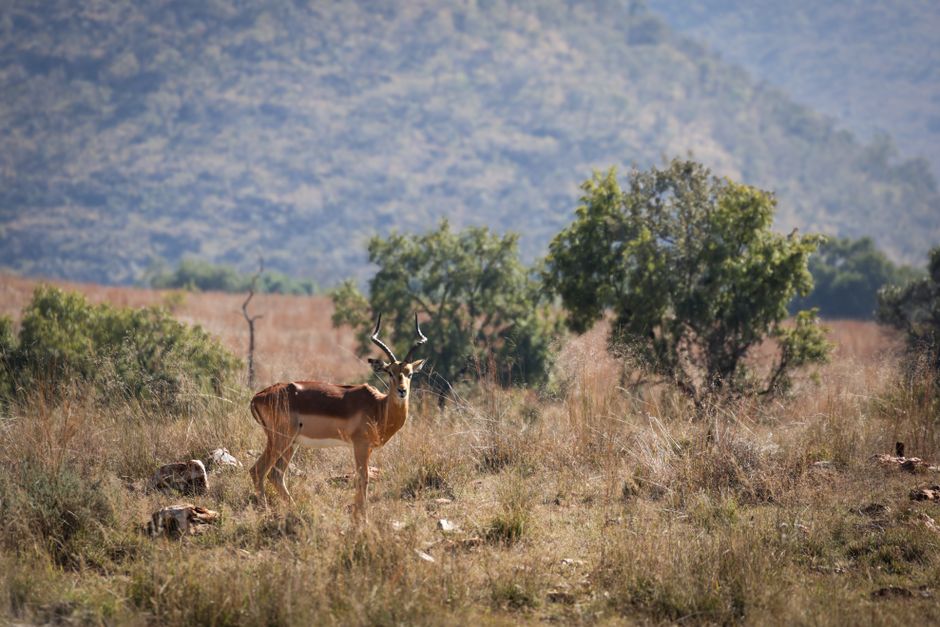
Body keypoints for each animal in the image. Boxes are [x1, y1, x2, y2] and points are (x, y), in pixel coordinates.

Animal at [249, 314, 427, 518]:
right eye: (390, 372)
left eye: (410, 373)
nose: (402, 391)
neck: (378, 407)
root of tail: (257, 397)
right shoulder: (360, 445)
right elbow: (363, 478)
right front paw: (362, 517)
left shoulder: (367, 448)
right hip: (280, 440)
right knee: (258, 471)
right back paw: (266, 511)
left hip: (291, 443)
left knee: (276, 475)